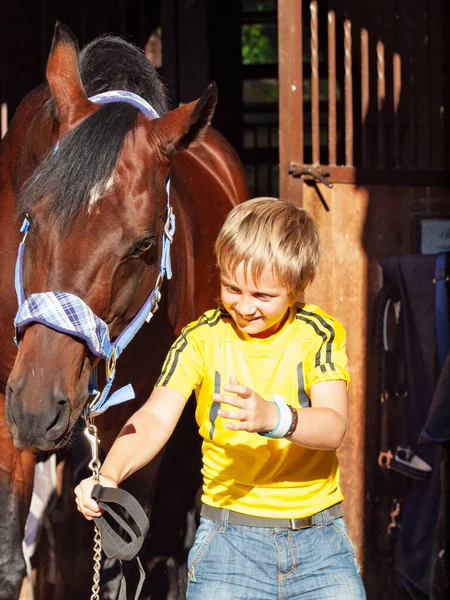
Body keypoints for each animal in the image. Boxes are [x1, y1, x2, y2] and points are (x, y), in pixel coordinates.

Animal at [0, 21, 246, 596]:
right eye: (29, 217)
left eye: (143, 245)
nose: (38, 406)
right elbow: (8, 558)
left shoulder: (136, 424)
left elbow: (117, 565)